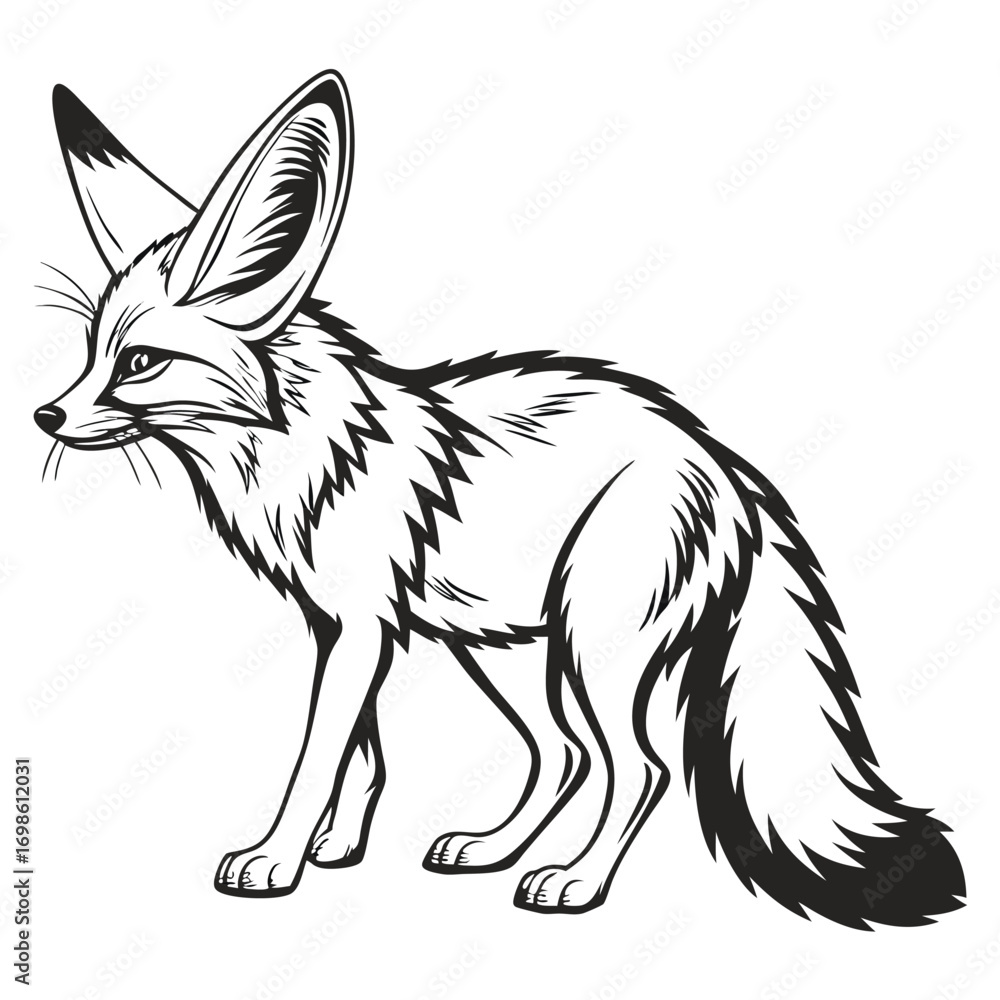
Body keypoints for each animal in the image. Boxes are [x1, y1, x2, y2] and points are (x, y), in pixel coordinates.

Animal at [34, 70, 965, 927]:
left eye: (140, 363)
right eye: (89, 352)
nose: (46, 415)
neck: (305, 451)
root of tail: (722, 462)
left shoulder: (362, 625)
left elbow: (315, 758)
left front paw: (277, 858)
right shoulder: (341, 623)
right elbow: (359, 755)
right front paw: (336, 847)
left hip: (590, 648)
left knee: (641, 768)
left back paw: (575, 883)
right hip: (504, 650)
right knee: (564, 756)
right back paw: (490, 850)